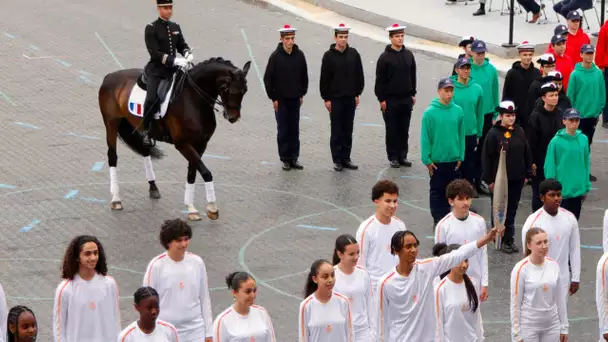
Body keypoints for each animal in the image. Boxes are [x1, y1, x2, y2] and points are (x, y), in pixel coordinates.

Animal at [98, 57, 251, 220]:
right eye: (226, 88)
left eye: (244, 90)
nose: (232, 117)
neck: (193, 99)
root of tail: (110, 76)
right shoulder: (183, 144)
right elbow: (205, 172)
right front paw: (212, 208)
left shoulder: (201, 144)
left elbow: (192, 172)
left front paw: (191, 208)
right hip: (111, 122)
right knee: (112, 156)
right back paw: (116, 199)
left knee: (145, 150)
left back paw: (153, 187)